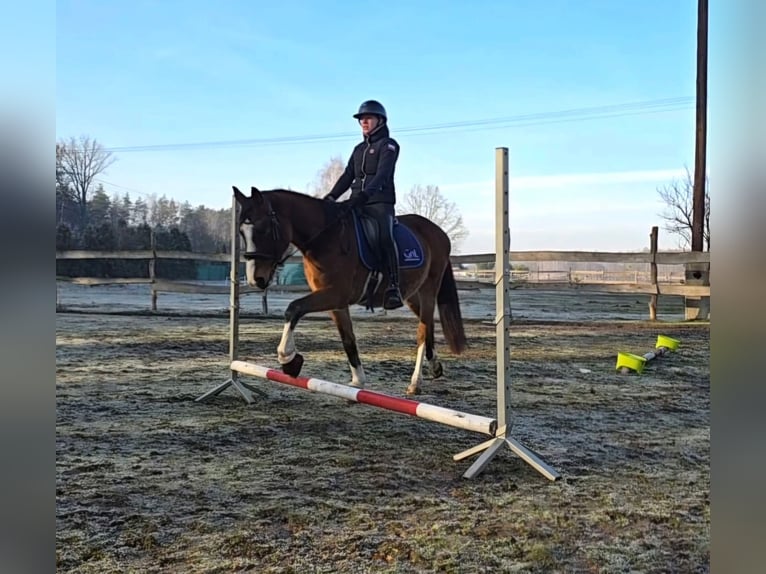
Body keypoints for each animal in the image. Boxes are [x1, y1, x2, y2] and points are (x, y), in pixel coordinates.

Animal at [232, 186, 467, 396]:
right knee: (428, 326)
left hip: (428, 289)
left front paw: (288, 360)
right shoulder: (336, 303)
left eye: (263, 229)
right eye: (241, 233)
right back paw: (435, 367)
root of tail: (438, 231)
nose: (256, 279)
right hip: (410, 295)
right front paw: (357, 381)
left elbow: (293, 308)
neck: (326, 238)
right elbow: (348, 338)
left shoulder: (336, 294)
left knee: (422, 330)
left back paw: (415, 383)